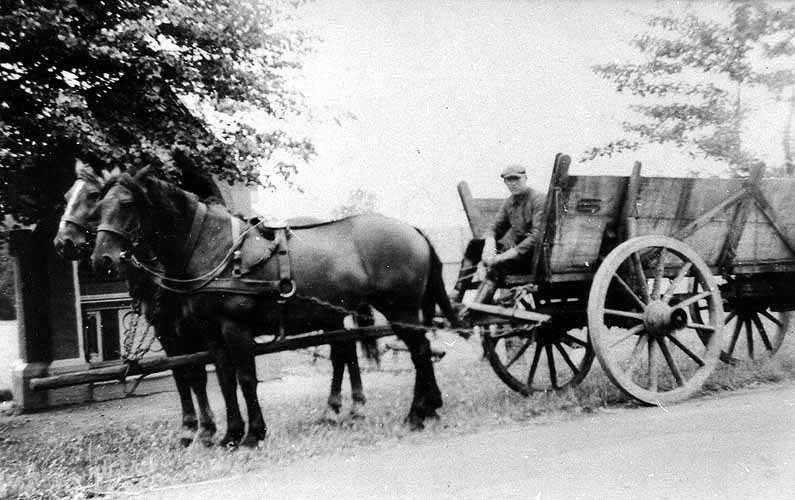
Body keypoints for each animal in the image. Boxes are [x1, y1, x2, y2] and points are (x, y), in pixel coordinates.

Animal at [52, 162, 218, 448]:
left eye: (93, 196)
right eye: (66, 196)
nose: (64, 242)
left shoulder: (188, 329)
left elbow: (197, 375)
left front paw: (206, 429)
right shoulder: (165, 330)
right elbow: (180, 375)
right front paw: (189, 429)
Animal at [91, 169, 466, 450]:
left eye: (126, 204)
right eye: (98, 208)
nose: (101, 259)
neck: (215, 248)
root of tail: (412, 230)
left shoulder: (235, 328)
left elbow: (245, 379)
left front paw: (253, 435)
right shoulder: (211, 333)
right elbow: (225, 380)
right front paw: (231, 435)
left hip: (400, 309)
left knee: (418, 353)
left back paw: (416, 414)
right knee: (409, 352)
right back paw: (426, 409)